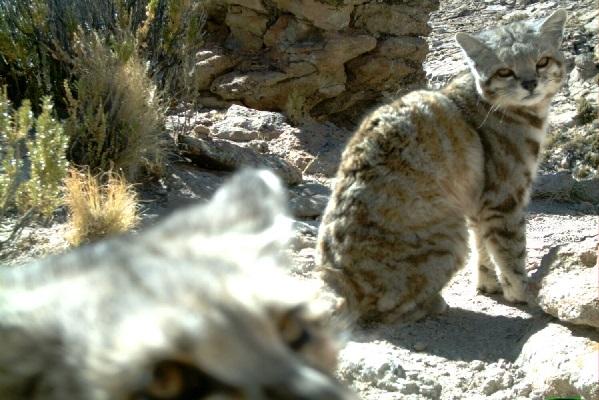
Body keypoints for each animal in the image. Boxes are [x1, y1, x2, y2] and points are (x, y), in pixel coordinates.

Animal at [318, 10, 568, 324]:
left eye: (542, 61)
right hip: (450, 235)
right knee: (386, 310)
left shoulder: (478, 202)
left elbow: (484, 246)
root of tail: (336, 278)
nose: (530, 82)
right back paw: (433, 304)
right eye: (505, 71)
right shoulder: (504, 199)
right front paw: (523, 294)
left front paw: (488, 285)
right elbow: (512, 252)